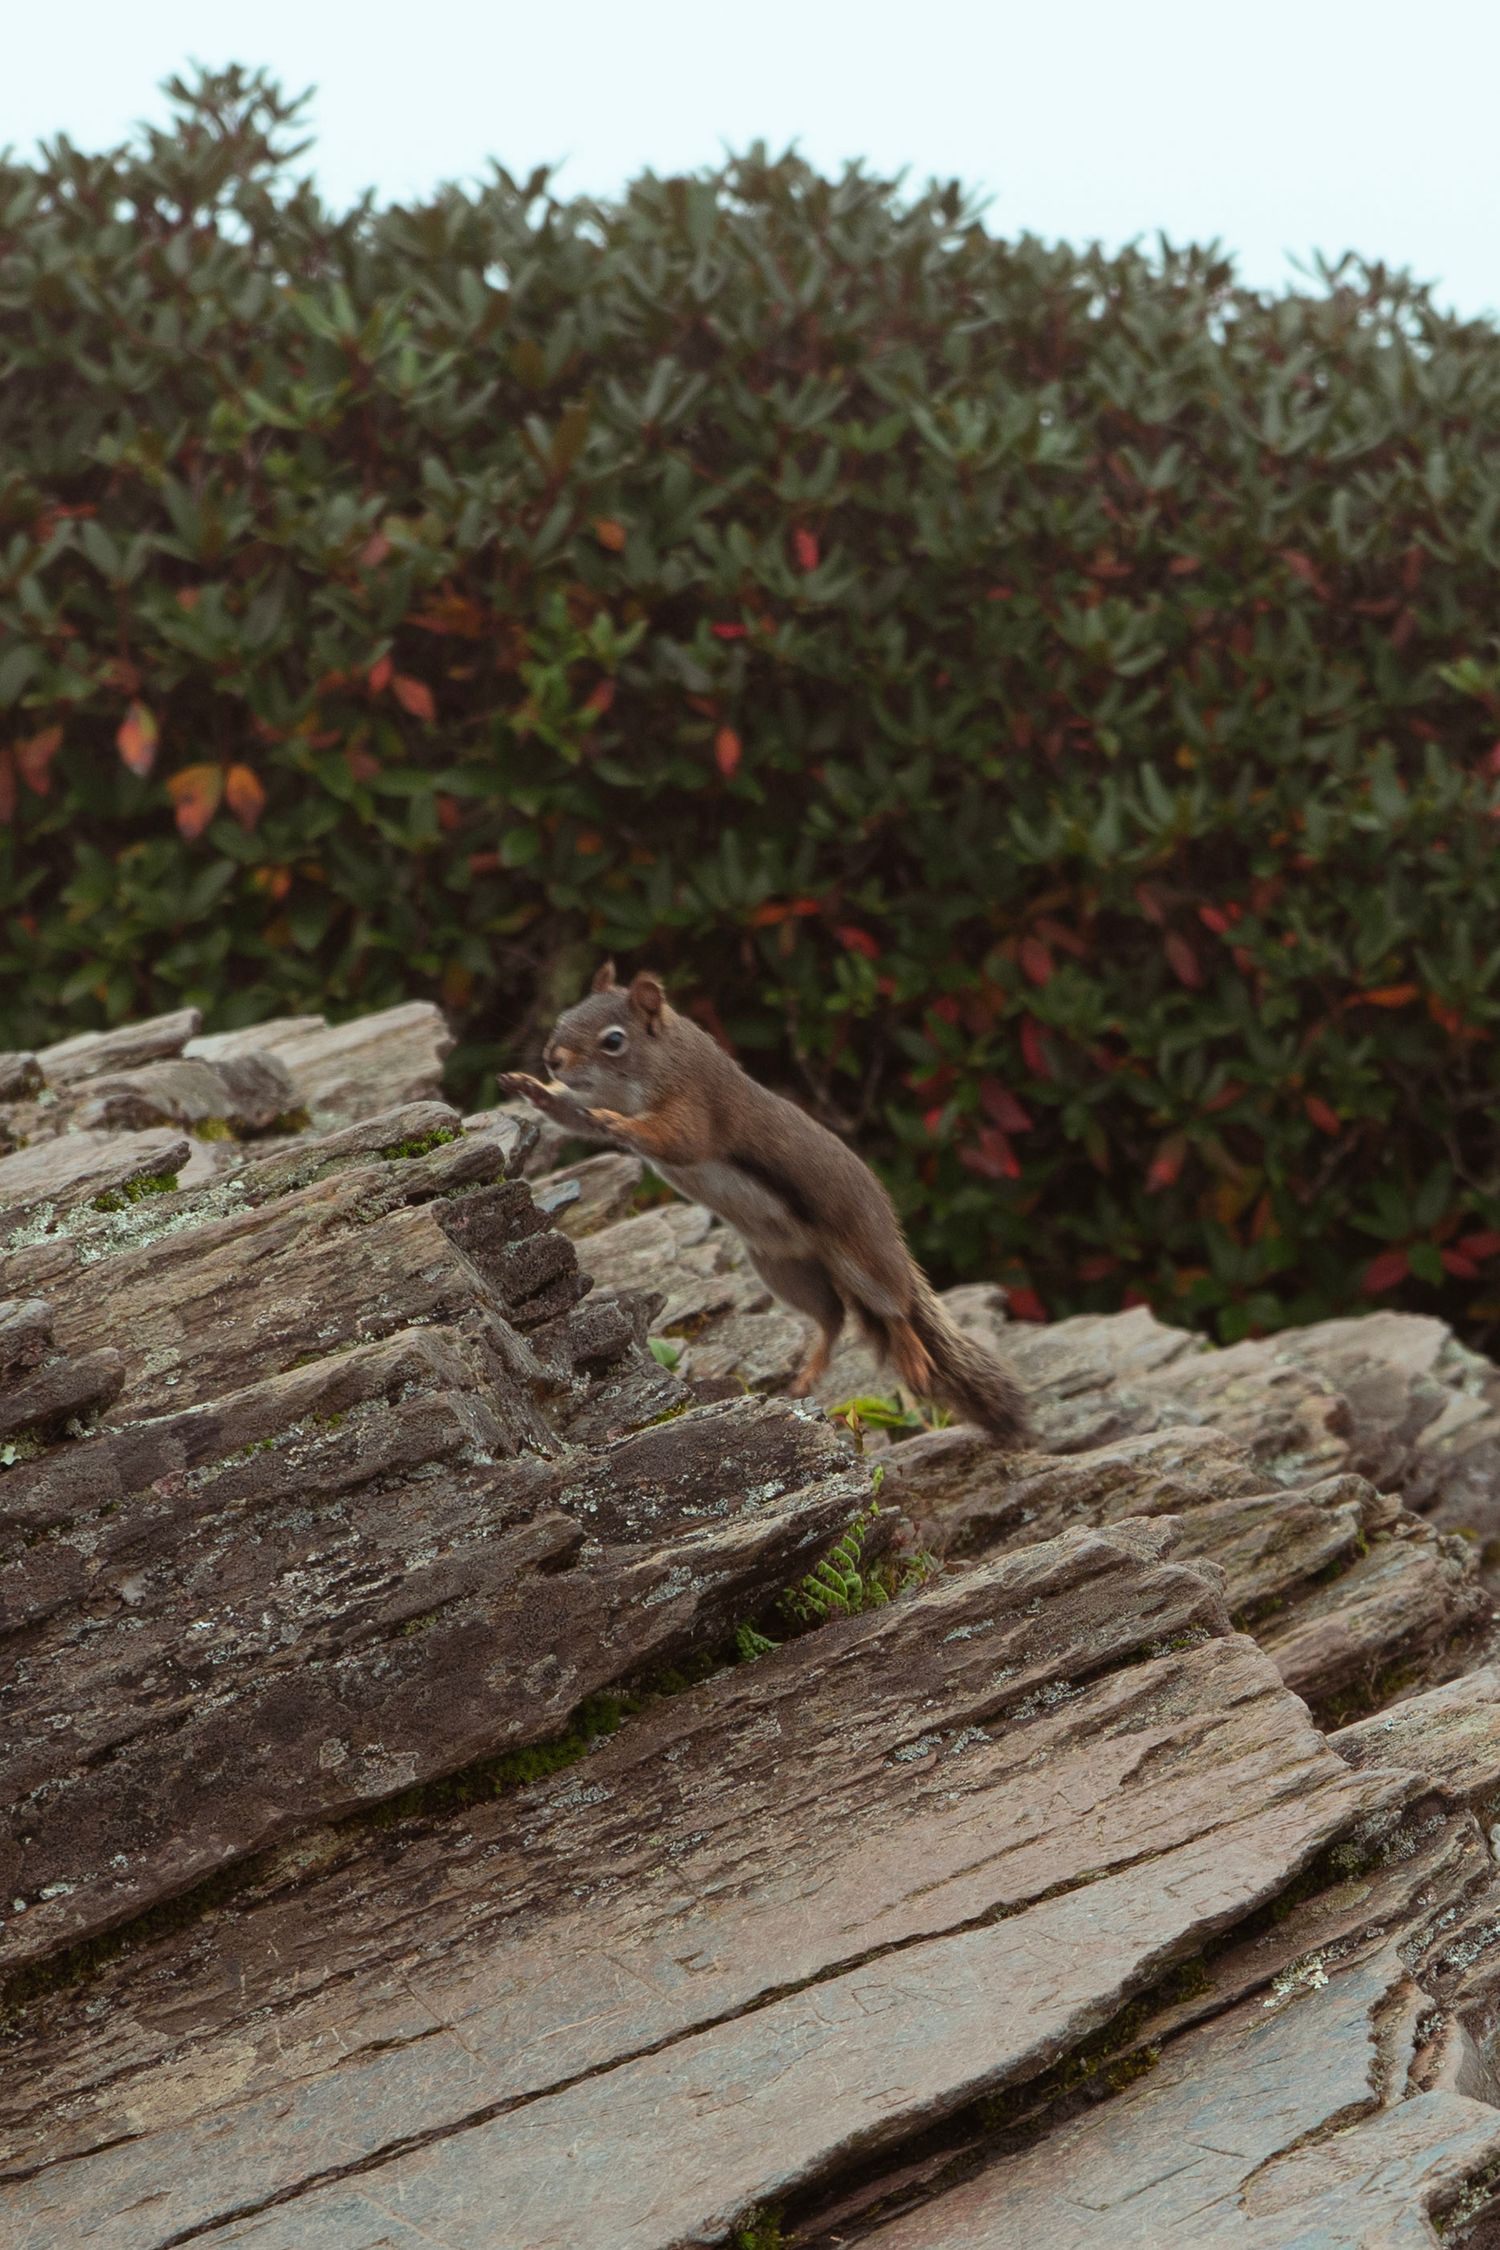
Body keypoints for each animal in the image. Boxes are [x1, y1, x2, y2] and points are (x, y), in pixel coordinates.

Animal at [496, 964, 1031, 1447]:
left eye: (613, 1041)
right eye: (565, 1016)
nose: (553, 1059)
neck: (660, 1063)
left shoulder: (696, 1108)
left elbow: (677, 1140)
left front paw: (615, 1121)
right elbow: (574, 1115)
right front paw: (533, 1088)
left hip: (864, 1259)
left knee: (895, 1309)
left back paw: (914, 1357)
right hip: (785, 1269)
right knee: (833, 1318)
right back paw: (806, 1376)